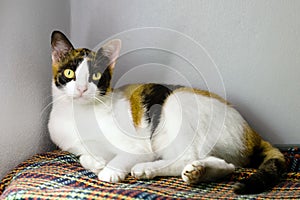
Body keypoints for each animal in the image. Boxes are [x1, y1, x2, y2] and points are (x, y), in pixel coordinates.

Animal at [48, 30, 286, 194]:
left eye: (96, 76)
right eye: (69, 73)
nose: (82, 89)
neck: (79, 115)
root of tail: (252, 132)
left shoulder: (139, 146)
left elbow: (120, 157)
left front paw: (110, 170)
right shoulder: (75, 147)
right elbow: (83, 157)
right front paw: (96, 162)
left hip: (175, 103)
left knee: (187, 157)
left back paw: (148, 168)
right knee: (227, 166)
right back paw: (196, 172)